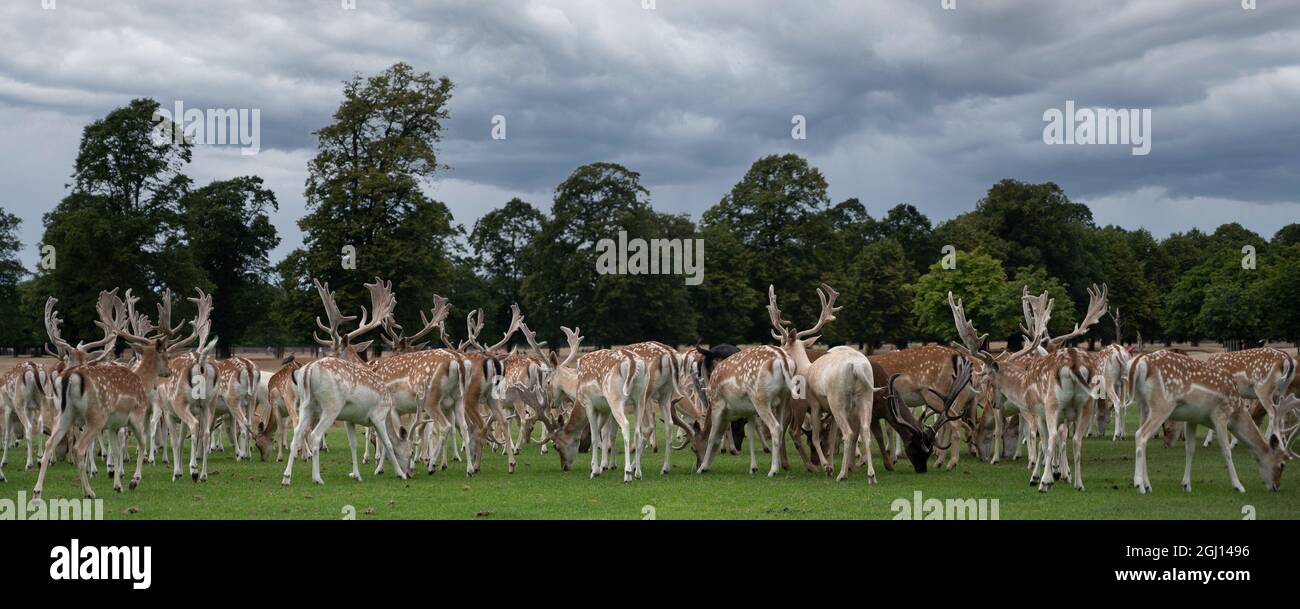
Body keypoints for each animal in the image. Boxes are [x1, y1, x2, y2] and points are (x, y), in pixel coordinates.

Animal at [282, 279, 408, 484]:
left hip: (307, 405)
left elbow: (360, 442)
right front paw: (392, 470)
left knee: (298, 433)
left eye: (333, 351)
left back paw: (287, 477)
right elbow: (385, 442)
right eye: (327, 350)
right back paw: (317, 477)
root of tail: (307, 370)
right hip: (330, 406)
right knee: (314, 434)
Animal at [1123, 346, 1294, 494]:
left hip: (1143, 405)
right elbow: (1225, 450)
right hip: (1163, 404)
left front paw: (1186, 484)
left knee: (1143, 437)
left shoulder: (1192, 418)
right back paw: (1139, 485)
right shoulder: (1221, 415)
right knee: (1141, 435)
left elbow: (1190, 448)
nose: (1276, 487)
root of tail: (1140, 362)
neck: (1236, 411)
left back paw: (1148, 485)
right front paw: (1238, 486)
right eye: (1282, 465)